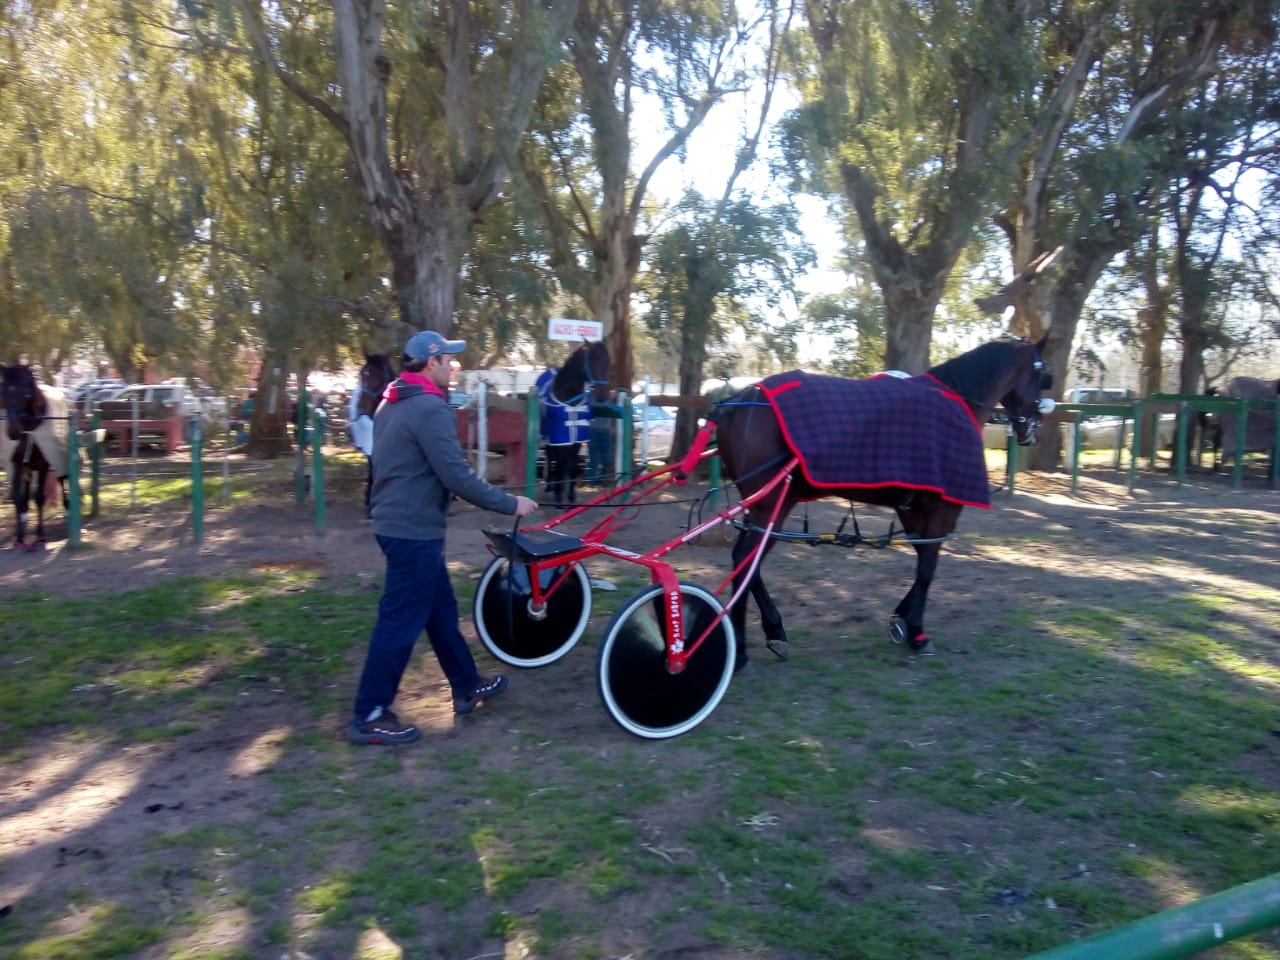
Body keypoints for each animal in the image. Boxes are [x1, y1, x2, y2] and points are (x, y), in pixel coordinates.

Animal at [0, 363, 71, 551]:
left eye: (26, 393)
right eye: (3, 392)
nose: (13, 433)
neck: (28, 430)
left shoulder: (44, 463)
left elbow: (39, 497)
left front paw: (40, 535)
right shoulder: (15, 464)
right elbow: (18, 498)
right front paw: (19, 536)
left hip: (57, 459)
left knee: (61, 479)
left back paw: (67, 510)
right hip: (27, 467)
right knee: (25, 489)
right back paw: (24, 516)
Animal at [536, 340, 610, 509]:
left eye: (608, 363)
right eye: (593, 361)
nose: (603, 395)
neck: (571, 400)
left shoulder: (577, 439)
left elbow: (571, 467)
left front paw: (570, 497)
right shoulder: (560, 437)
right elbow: (561, 465)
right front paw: (558, 498)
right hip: (548, 436)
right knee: (550, 458)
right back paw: (550, 486)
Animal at [707, 336, 1053, 666]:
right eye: (1043, 376)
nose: (1033, 429)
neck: (956, 402)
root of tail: (739, 399)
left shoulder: (912, 508)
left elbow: (922, 560)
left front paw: (902, 618)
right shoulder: (942, 509)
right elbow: (928, 567)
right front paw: (917, 632)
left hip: (765, 505)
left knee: (746, 563)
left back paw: (764, 634)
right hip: (770, 504)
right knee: (746, 561)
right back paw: (745, 645)